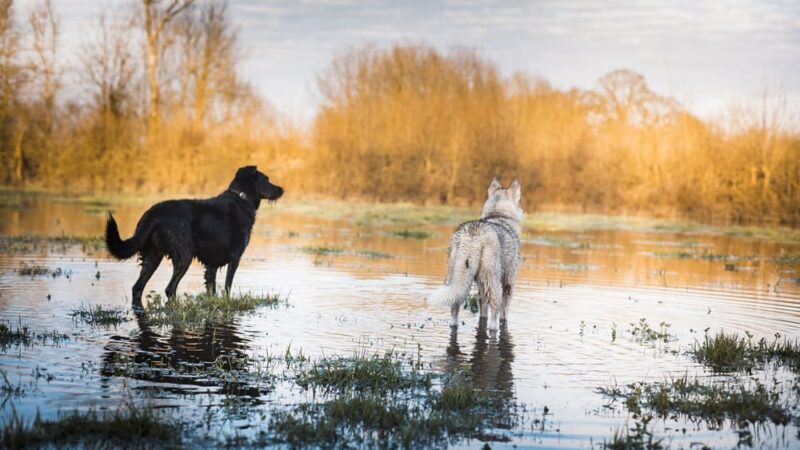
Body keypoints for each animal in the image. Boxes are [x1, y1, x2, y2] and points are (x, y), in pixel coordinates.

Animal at [104, 165, 282, 306]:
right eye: (266, 179)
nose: (282, 189)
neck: (241, 199)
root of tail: (154, 212)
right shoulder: (235, 258)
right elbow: (227, 286)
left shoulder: (211, 264)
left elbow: (212, 289)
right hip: (184, 256)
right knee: (169, 289)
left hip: (152, 256)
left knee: (137, 288)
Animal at [428, 178, 520, 330]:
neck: (497, 214)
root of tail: (472, 236)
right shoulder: (509, 280)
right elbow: (504, 312)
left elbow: (483, 308)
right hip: (491, 276)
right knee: (495, 307)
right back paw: (494, 327)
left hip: (456, 274)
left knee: (455, 305)